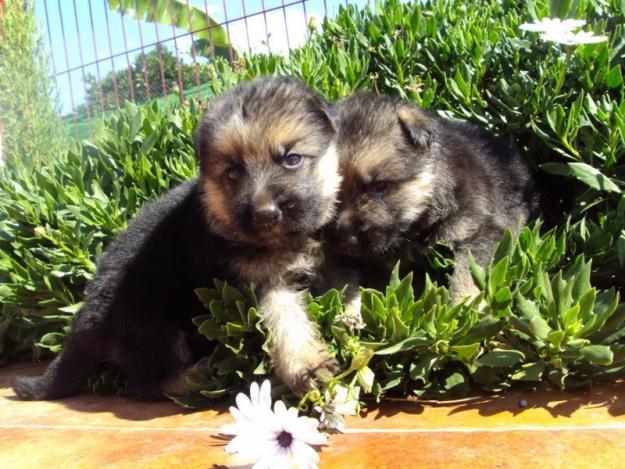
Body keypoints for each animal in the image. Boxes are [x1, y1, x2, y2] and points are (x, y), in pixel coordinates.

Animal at [11, 77, 342, 398]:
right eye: (233, 173)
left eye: (292, 159)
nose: (266, 215)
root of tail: (85, 321)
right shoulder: (266, 282)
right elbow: (285, 320)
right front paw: (306, 366)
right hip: (156, 325)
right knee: (146, 384)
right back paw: (194, 378)